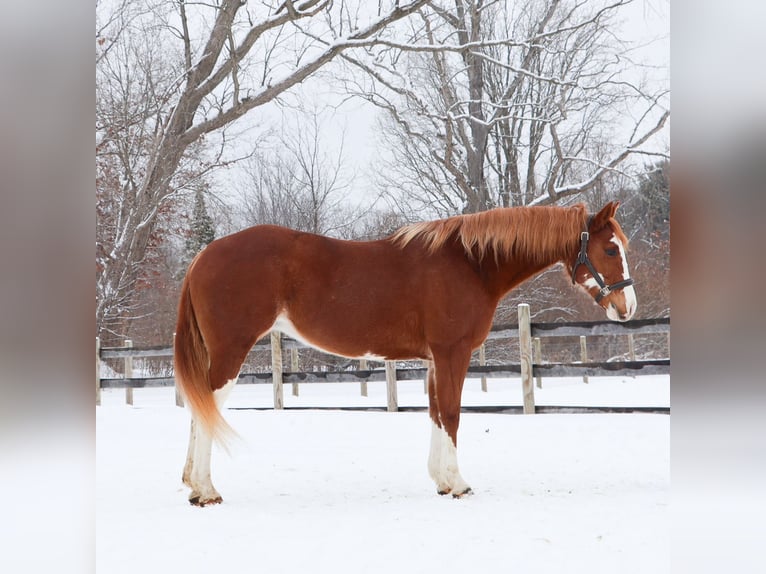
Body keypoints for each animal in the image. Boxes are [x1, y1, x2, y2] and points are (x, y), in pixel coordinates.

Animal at [174, 201, 636, 506]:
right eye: (611, 249)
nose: (627, 307)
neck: (470, 264)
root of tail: (203, 256)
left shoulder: (434, 359)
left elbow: (435, 414)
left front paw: (442, 482)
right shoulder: (452, 353)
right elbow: (451, 413)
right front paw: (459, 483)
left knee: (201, 409)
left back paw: (195, 487)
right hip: (231, 352)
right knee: (207, 408)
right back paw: (207, 490)